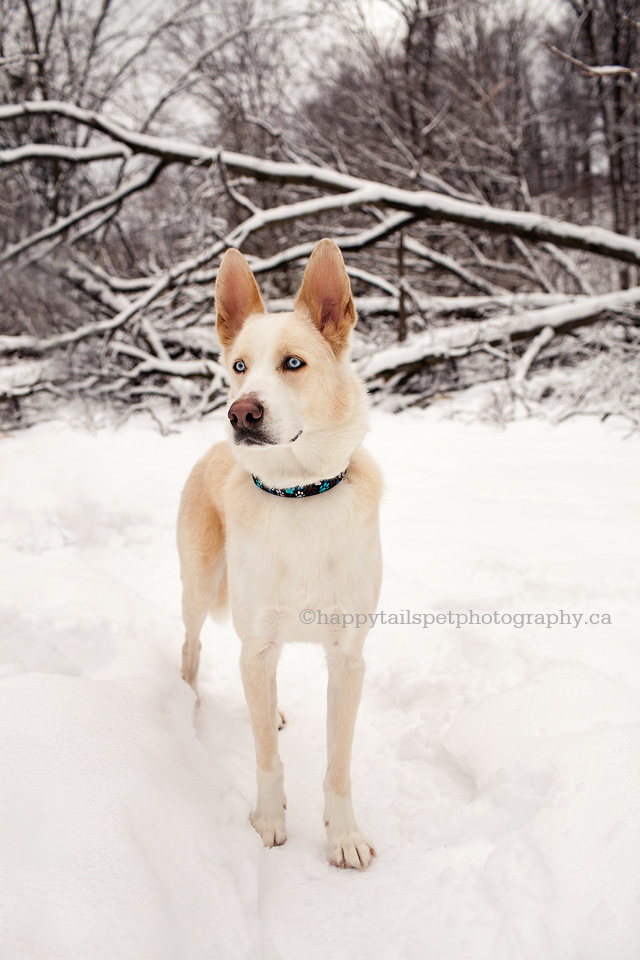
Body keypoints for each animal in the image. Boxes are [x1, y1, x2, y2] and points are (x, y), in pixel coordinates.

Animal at [176, 238, 380, 872]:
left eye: (293, 364)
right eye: (239, 366)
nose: (241, 413)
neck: (299, 493)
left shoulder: (349, 658)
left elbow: (339, 765)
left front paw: (344, 836)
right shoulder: (258, 644)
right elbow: (266, 756)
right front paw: (268, 822)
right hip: (200, 588)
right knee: (192, 647)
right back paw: (187, 702)